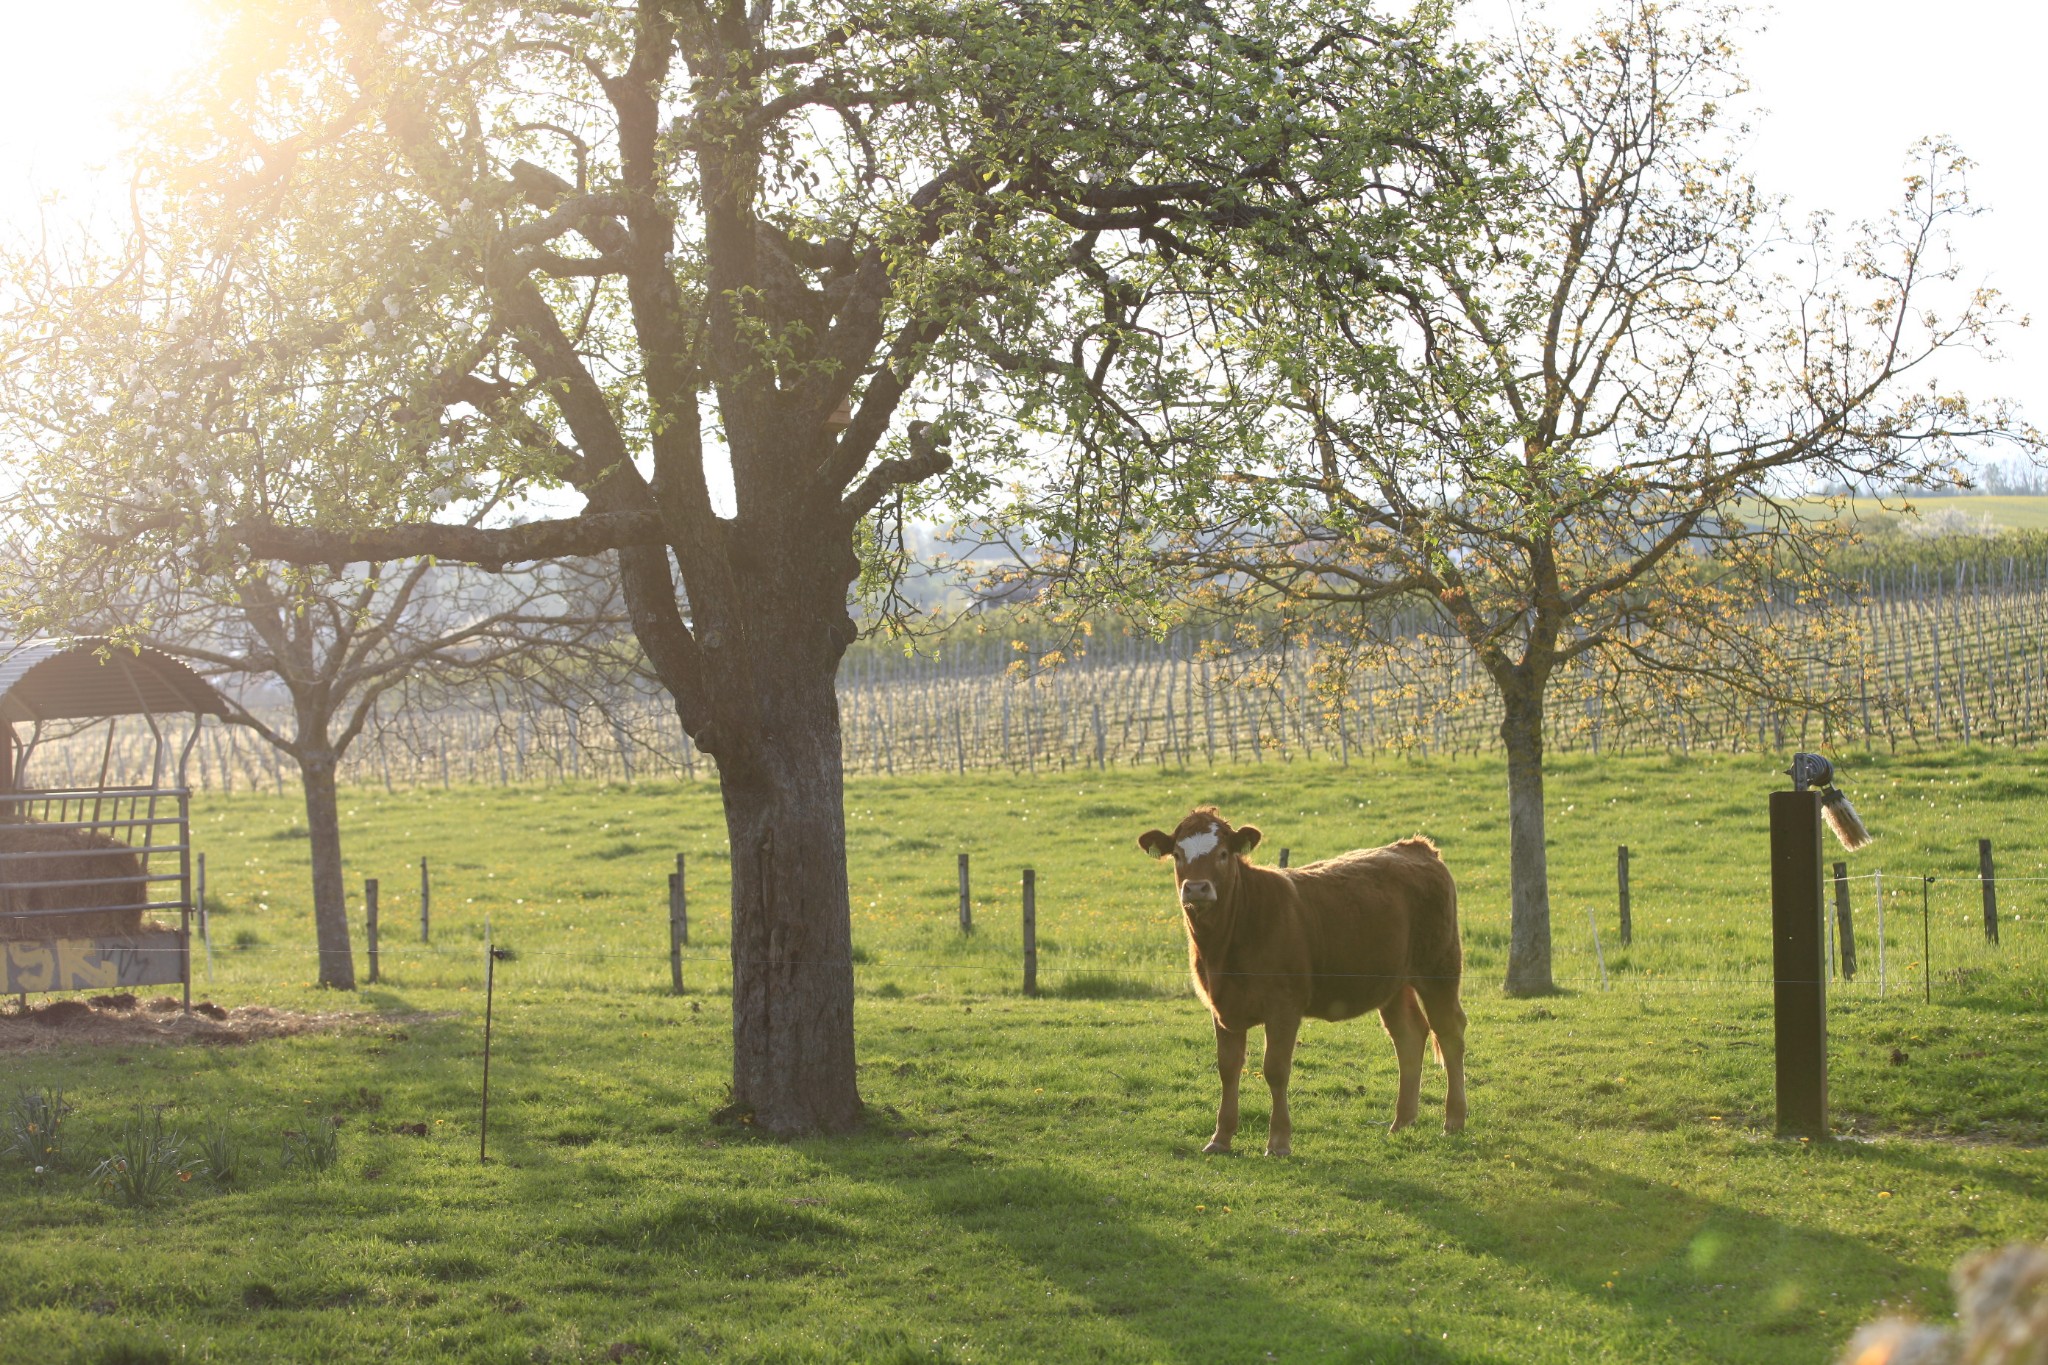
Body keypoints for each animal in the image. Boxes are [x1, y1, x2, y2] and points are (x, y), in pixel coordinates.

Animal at [1138, 806, 1474, 1162]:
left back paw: (1453, 1121)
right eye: (1177, 855)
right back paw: (1401, 1123)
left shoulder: (1284, 1006)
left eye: (1223, 854)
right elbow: (1227, 1068)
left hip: (1439, 967)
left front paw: (1278, 1142)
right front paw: (1220, 1138)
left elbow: (1275, 1069)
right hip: (1394, 983)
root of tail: (1417, 846)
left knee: (1449, 1032)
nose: (1197, 888)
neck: (1228, 942)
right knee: (1409, 1035)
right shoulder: (1222, 1008)